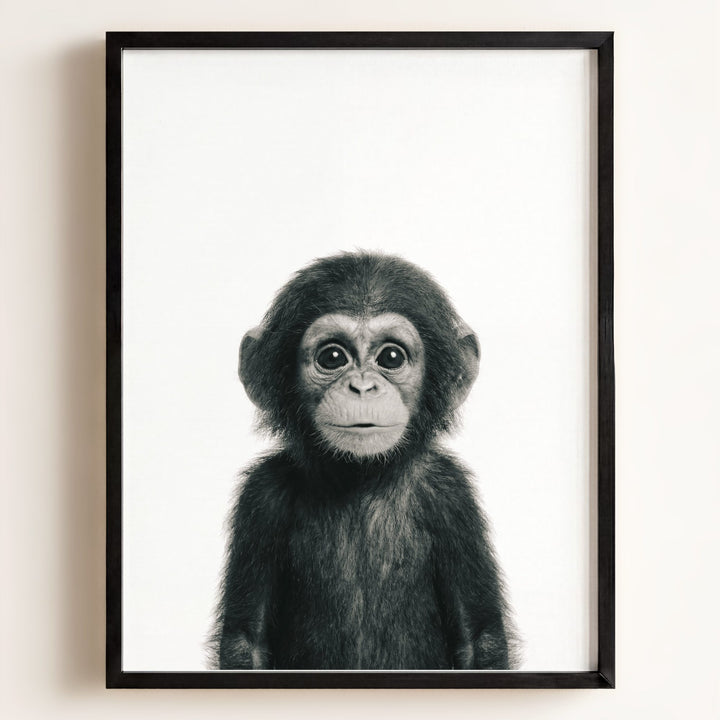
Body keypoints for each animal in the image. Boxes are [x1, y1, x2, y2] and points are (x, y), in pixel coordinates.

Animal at [211, 252, 518, 670]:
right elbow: (246, 641)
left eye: (391, 356)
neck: (360, 477)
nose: (362, 386)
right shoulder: (261, 496)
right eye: (332, 357)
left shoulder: (452, 495)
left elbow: (480, 639)